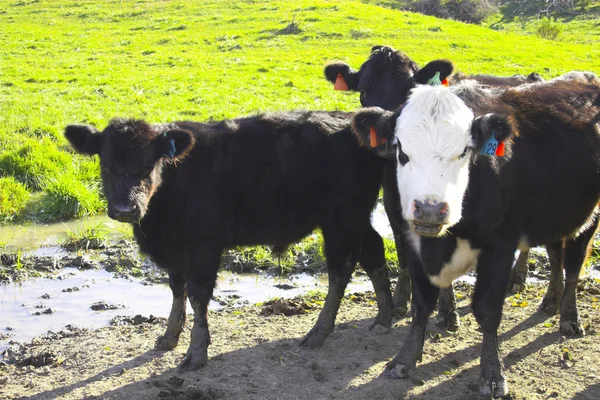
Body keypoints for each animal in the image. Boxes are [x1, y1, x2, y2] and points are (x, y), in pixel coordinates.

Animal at [64, 111, 394, 370]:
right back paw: (385, 316)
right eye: (106, 165)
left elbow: (197, 296)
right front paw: (169, 337)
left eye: (148, 166)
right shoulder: (175, 251)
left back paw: (319, 332)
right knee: (374, 250)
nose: (124, 209)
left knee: (340, 271)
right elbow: (176, 290)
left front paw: (196, 353)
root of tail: (348, 120)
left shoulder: (203, 248)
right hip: (356, 218)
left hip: (341, 220)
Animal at [326, 43, 548, 332]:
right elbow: (403, 252)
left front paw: (447, 312)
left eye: (409, 89)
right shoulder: (394, 204)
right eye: (363, 91)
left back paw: (518, 277)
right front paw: (401, 301)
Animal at [352, 61, 600, 398]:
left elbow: (487, 310)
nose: (430, 208)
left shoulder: (500, 245)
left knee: (574, 263)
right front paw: (404, 360)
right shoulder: (414, 240)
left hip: (589, 215)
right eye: (401, 151)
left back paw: (569, 318)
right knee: (556, 253)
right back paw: (550, 301)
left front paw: (492, 374)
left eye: (464, 152)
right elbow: (421, 305)